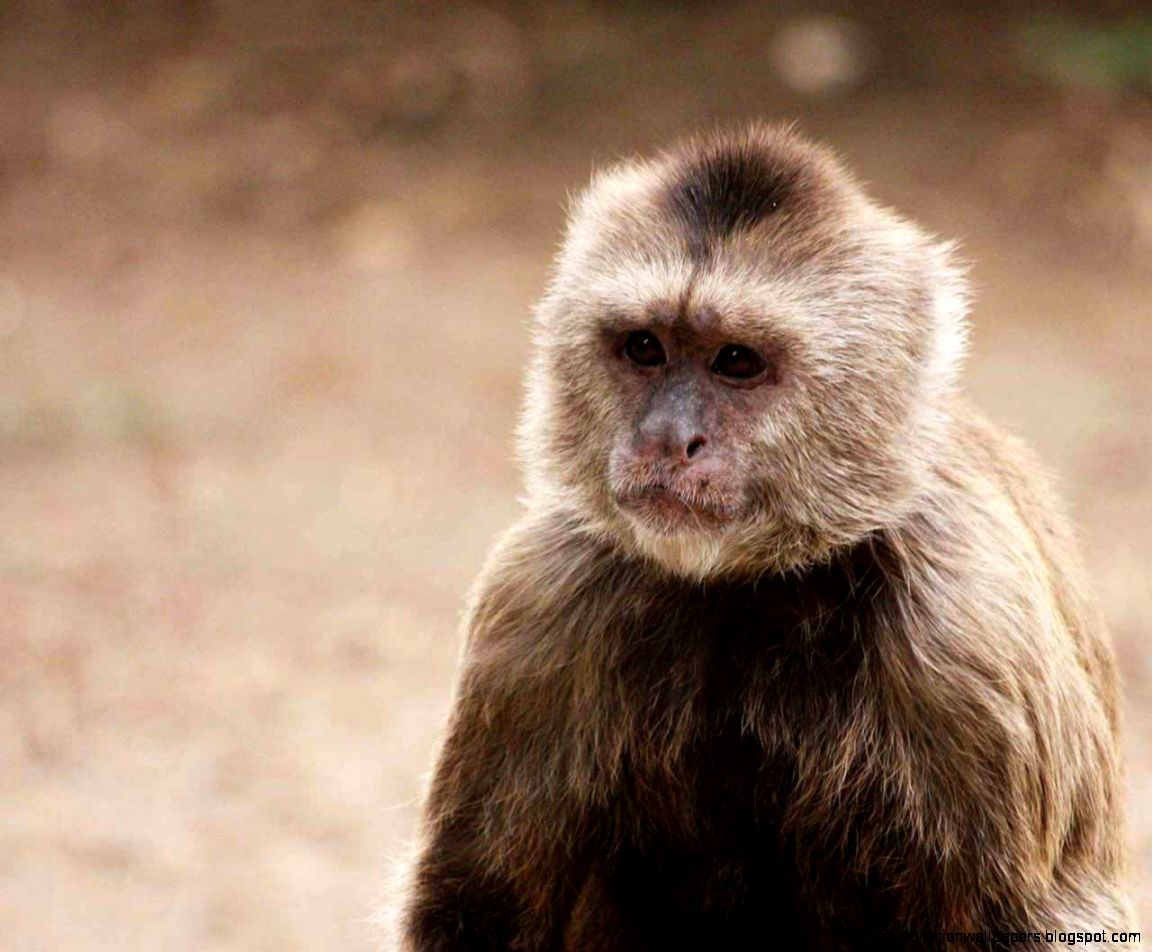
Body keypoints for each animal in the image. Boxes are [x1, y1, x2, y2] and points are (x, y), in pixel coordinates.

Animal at [389, 123, 1134, 950]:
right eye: (645, 348)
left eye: (736, 362)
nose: (668, 438)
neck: (752, 585)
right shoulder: (540, 600)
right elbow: (477, 912)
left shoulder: (967, 633)